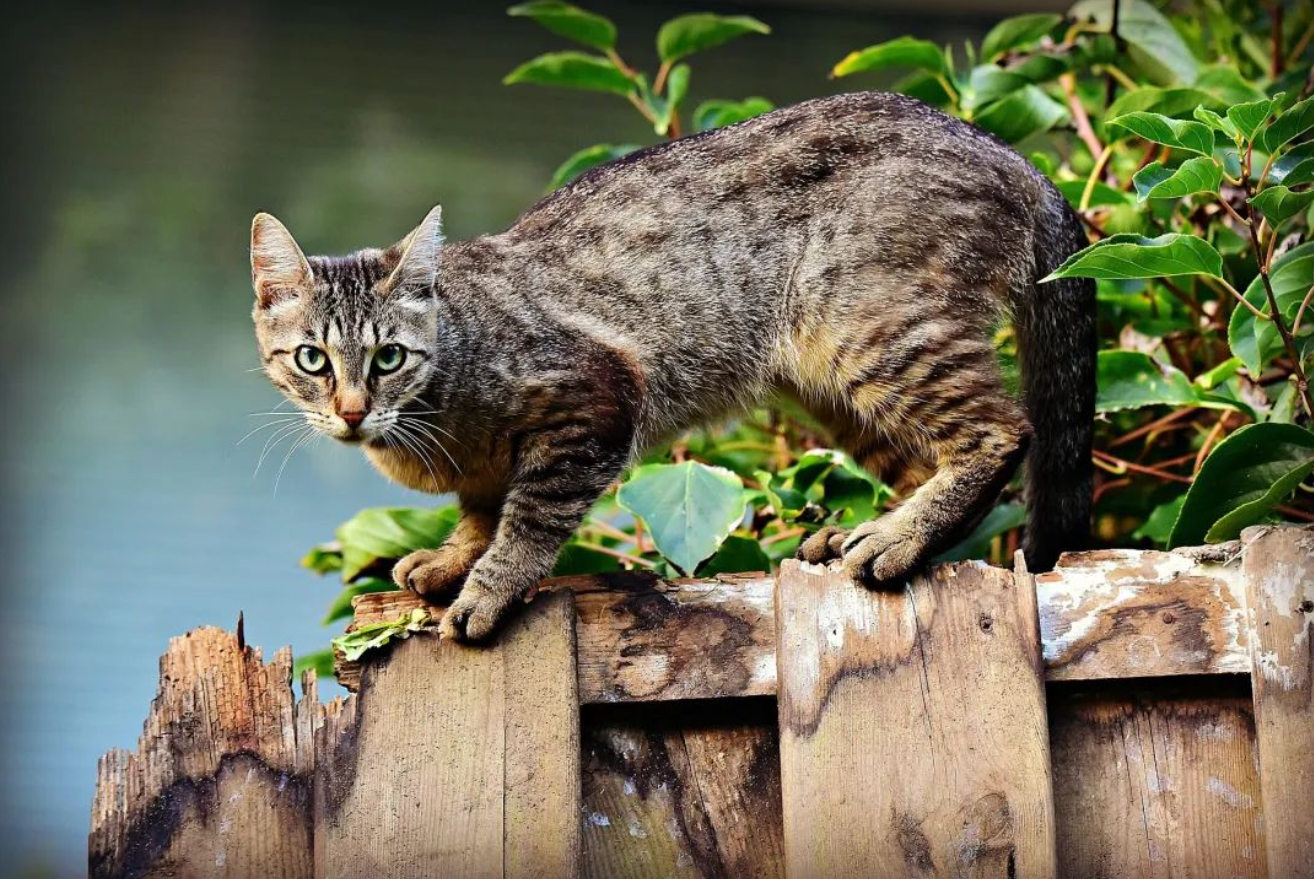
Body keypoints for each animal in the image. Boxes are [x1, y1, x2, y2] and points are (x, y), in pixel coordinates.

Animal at [250, 89, 1093, 641]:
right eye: (312, 359)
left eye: (388, 356)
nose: (352, 411)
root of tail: (1012, 155)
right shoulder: (487, 469)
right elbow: (480, 511)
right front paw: (454, 558)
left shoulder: (596, 400)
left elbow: (528, 517)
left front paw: (488, 586)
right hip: (829, 383)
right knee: (923, 458)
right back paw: (869, 529)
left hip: (872, 330)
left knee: (1001, 431)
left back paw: (898, 537)